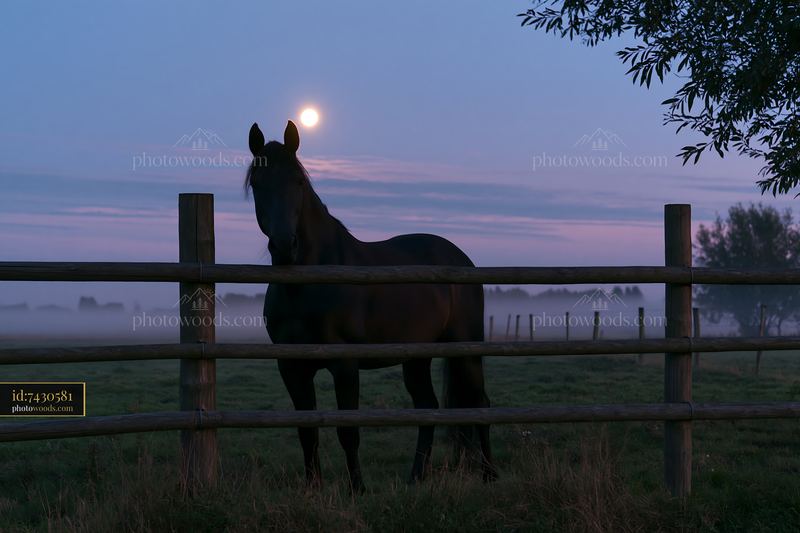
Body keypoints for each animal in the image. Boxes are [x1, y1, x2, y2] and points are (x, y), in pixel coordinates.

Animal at [245, 120, 494, 492]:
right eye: (257, 184)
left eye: (299, 181)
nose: (284, 246)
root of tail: (460, 258)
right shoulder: (291, 367)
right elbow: (307, 431)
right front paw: (313, 489)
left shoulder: (346, 365)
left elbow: (348, 431)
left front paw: (357, 490)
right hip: (417, 357)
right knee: (429, 408)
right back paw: (415, 478)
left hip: (466, 349)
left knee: (480, 405)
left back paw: (490, 475)